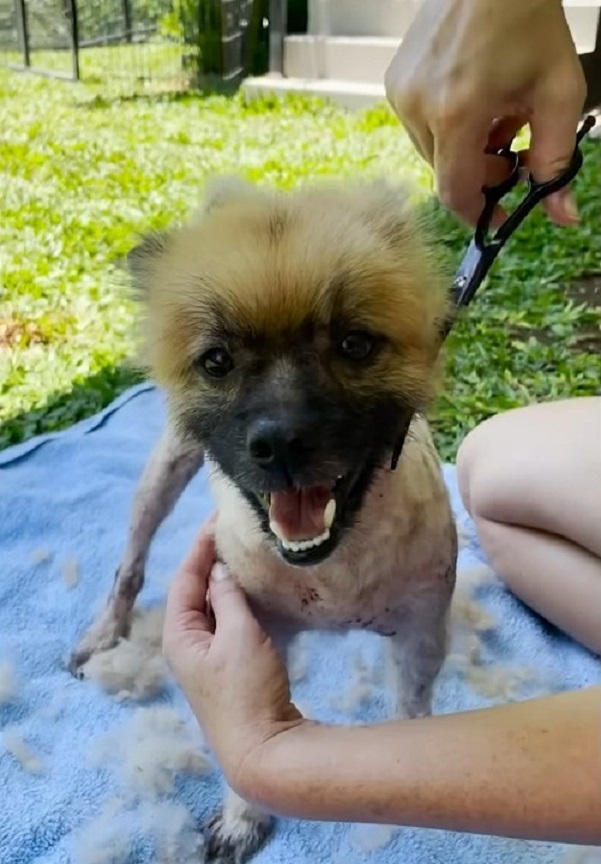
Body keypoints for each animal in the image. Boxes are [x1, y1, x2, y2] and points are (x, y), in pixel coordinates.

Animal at [69, 177, 454, 864]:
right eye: (217, 361)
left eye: (355, 344)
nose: (280, 442)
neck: (334, 574)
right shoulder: (249, 638)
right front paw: (243, 817)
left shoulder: (420, 633)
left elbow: (412, 709)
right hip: (162, 474)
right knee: (129, 562)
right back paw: (105, 632)